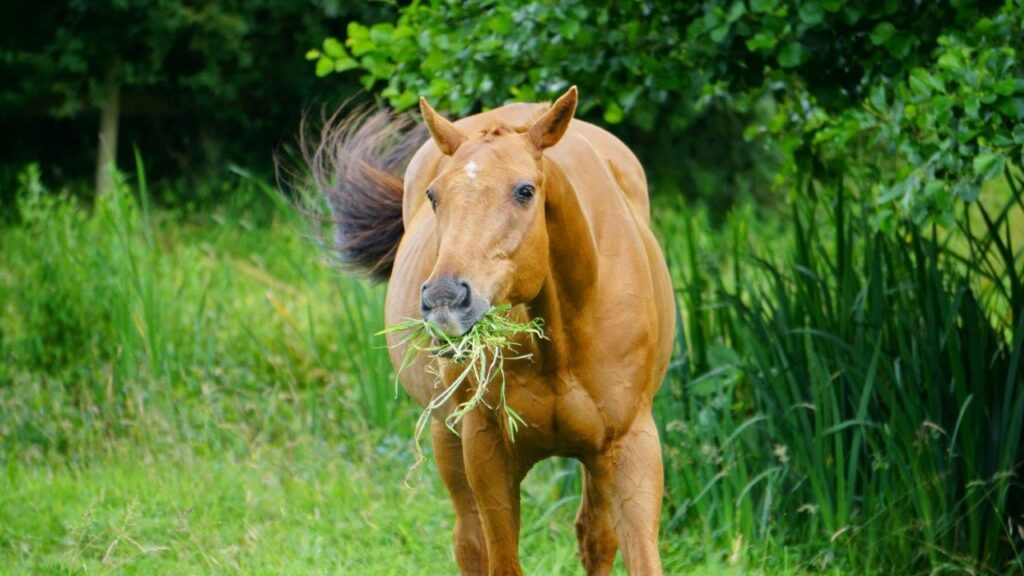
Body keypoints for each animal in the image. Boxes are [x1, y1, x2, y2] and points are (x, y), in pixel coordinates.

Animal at [308, 87, 675, 575]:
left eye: (525, 191)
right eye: (434, 195)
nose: (445, 298)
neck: (562, 342)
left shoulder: (631, 447)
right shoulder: (488, 451)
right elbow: (499, 557)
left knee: (595, 537)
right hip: (447, 437)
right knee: (469, 541)